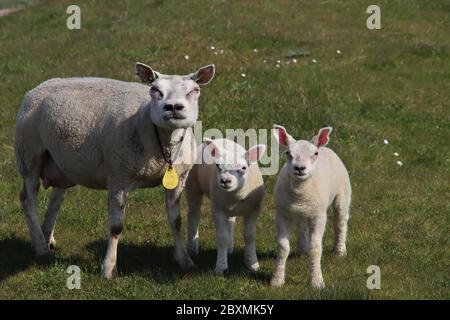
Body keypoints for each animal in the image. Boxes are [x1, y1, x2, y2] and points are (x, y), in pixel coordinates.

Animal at [14, 62, 215, 278]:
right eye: (155, 89)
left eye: (194, 91)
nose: (173, 107)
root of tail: (40, 86)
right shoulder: (119, 177)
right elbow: (116, 227)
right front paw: (109, 268)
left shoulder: (178, 179)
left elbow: (176, 221)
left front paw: (185, 260)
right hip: (28, 154)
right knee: (28, 198)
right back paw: (40, 246)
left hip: (63, 162)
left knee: (56, 198)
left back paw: (47, 237)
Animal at [185, 138, 266, 276]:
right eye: (218, 166)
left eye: (243, 168)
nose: (225, 181)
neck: (236, 196)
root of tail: (219, 139)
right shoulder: (218, 210)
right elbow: (222, 238)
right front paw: (221, 267)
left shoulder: (253, 210)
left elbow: (250, 236)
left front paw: (252, 263)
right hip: (193, 184)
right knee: (193, 215)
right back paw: (193, 248)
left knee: (231, 222)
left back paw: (230, 248)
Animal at [270, 124, 352, 288]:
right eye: (288, 153)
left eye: (314, 154)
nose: (299, 168)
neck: (300, 194)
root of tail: (324, 146)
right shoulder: (282, 214)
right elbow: (283, 247)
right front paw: (277, 280)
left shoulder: (318, 215)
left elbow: (315, 248)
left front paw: (316, 281)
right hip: (303, 211)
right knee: (302, 226)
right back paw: (302, 250)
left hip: (343, 194)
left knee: (340, 223)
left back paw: (340, 251)